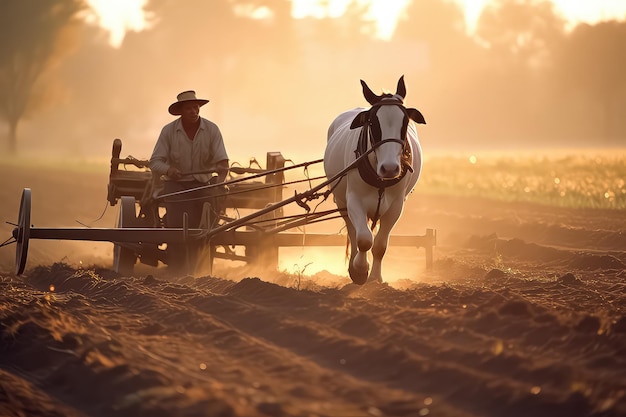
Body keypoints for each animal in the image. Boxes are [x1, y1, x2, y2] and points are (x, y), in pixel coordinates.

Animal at [322, 75, 424, 282]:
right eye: (373, 123)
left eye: (405, 123)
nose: (390, 168)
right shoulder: (353, 200)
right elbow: (363, 239)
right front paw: (360, 270)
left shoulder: (395, 207)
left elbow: (379, 245)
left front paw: (376, 278)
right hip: (341, 201)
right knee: (353, 232)